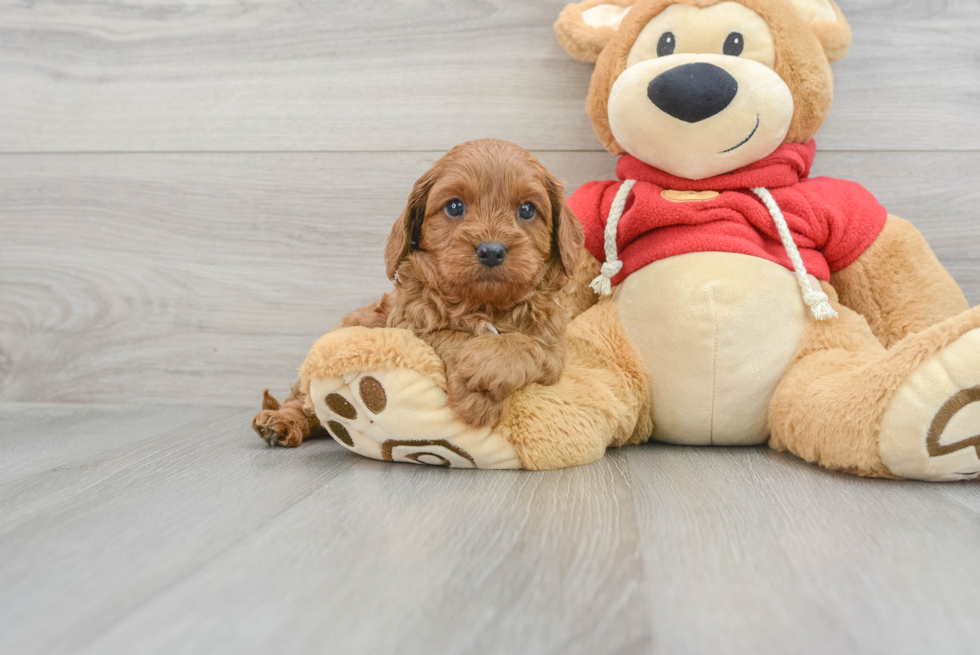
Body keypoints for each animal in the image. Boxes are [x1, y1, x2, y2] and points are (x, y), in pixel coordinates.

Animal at [256, 138, 584, 446]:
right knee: (302, 399)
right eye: (455, 206)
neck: (483, 305)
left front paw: (486, 370)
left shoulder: (553, 349)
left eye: (527, 210)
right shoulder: (410, 328)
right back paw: (281, 422)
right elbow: (450, 335)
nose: (491, 251)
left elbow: (528, 345)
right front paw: (475, 394)